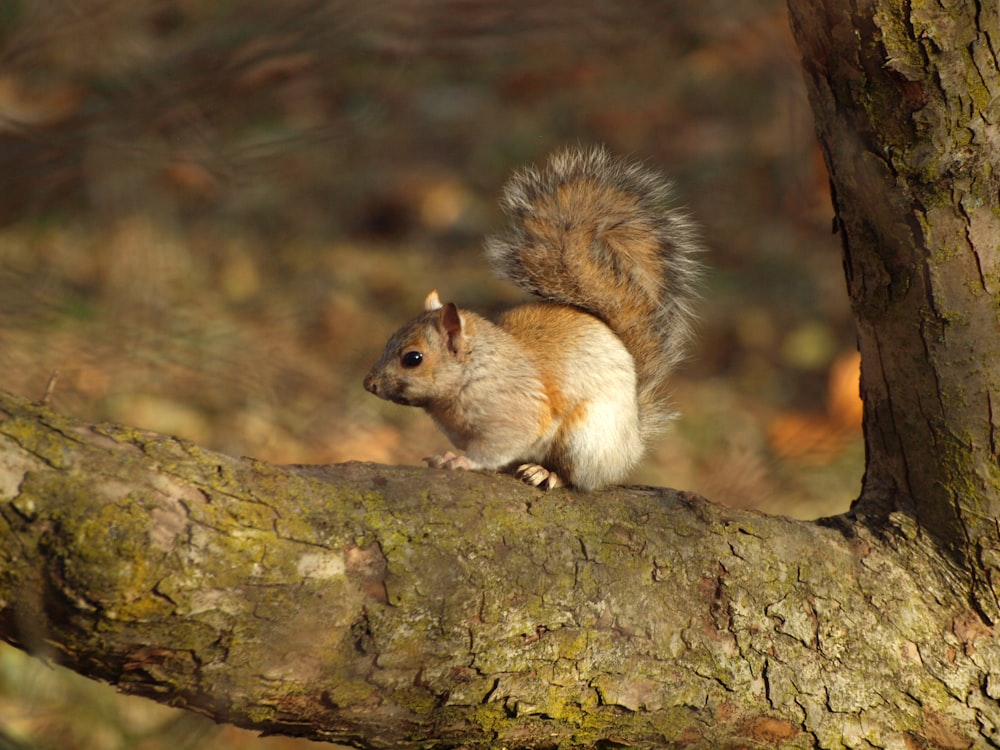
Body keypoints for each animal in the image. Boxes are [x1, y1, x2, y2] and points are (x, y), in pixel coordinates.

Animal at [364, 148, 700, 494]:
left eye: (413, 358)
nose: (369, 383)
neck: (476, 369)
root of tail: (633, 441)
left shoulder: (516, 414)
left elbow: (496, 448)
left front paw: (459, 461)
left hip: (584, 439)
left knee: (575, 476)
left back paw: (545, 473)